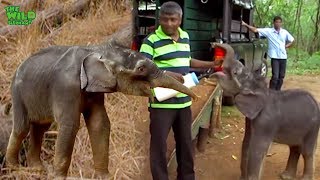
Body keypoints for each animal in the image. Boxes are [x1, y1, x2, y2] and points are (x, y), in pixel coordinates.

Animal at [5, 42, 198, 179]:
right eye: (141, 68)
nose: (195, 97)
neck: (94, 49)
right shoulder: (65, 87)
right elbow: (70, 125)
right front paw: (58, 177)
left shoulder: (94, 91)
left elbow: (99, 123)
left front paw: (105, 176)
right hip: (17, 93)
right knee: (22, 127)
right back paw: (15, 167)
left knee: (40, 127)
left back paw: (37, 169)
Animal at [210, 43, 320, 180]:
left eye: (235, 72)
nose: (214, 44)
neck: (260, 89)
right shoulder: (251, 120)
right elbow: (246, 144)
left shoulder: (266, 122)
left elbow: (257, 148)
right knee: (294, 148)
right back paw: (286, 176)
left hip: (313, 128)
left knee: (306, 151)